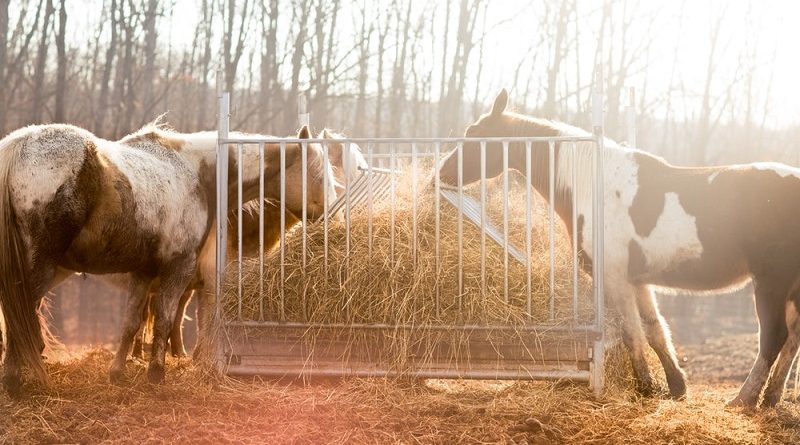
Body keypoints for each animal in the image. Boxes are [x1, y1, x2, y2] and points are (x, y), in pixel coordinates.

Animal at [0, 123, 336, 395]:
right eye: (319, 175)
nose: (332, 214)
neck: (197, 174)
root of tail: (18, 146)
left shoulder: (144, 272)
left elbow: (131, 322)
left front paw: (118, 372)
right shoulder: (179, 269)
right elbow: (165, 318)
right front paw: (156, 373)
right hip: (40, 269)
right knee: (20, 317)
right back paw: (17, 378)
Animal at [437, 89, 800, 408]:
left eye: (474, 134)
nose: (442, 172)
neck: (593, 186)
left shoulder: (614, 279)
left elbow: (631, 334)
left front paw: (645, 387)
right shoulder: (638, 281)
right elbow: (655, 331)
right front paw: (676, 386)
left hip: (771, 282)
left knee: (774, 338)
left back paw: (745, 399)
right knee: (793, 338)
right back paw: (771, 398)